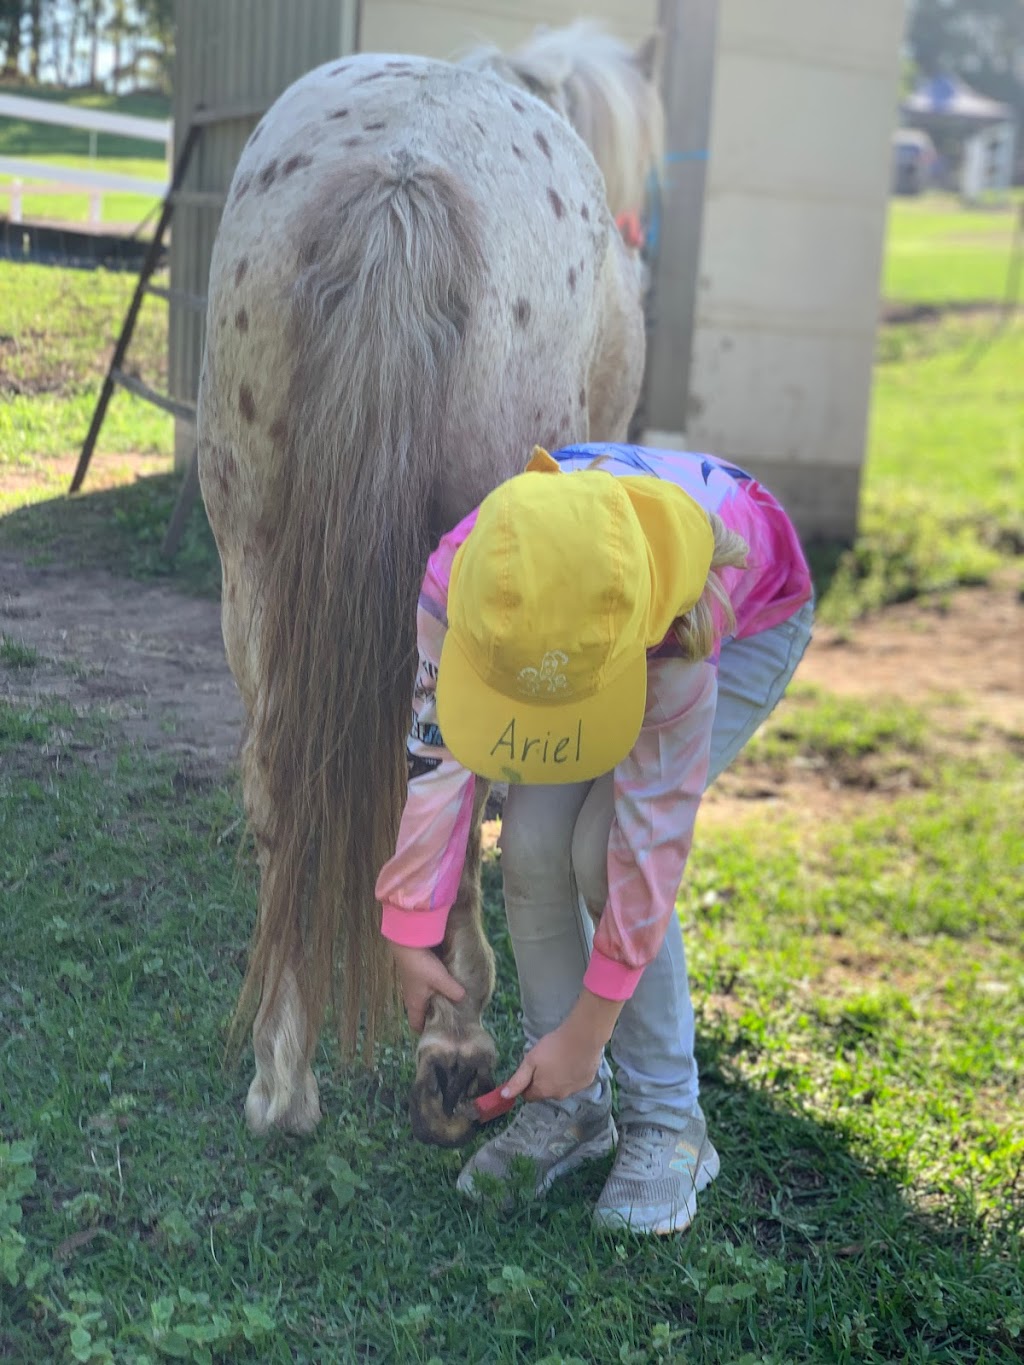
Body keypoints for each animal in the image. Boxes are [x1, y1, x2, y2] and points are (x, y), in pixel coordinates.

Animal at [199, 24, 666, 1152]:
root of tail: (402, 173)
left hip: (252, 562)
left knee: (278, 786)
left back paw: (283, 1081)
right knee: (457, 786)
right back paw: (453, 1047)